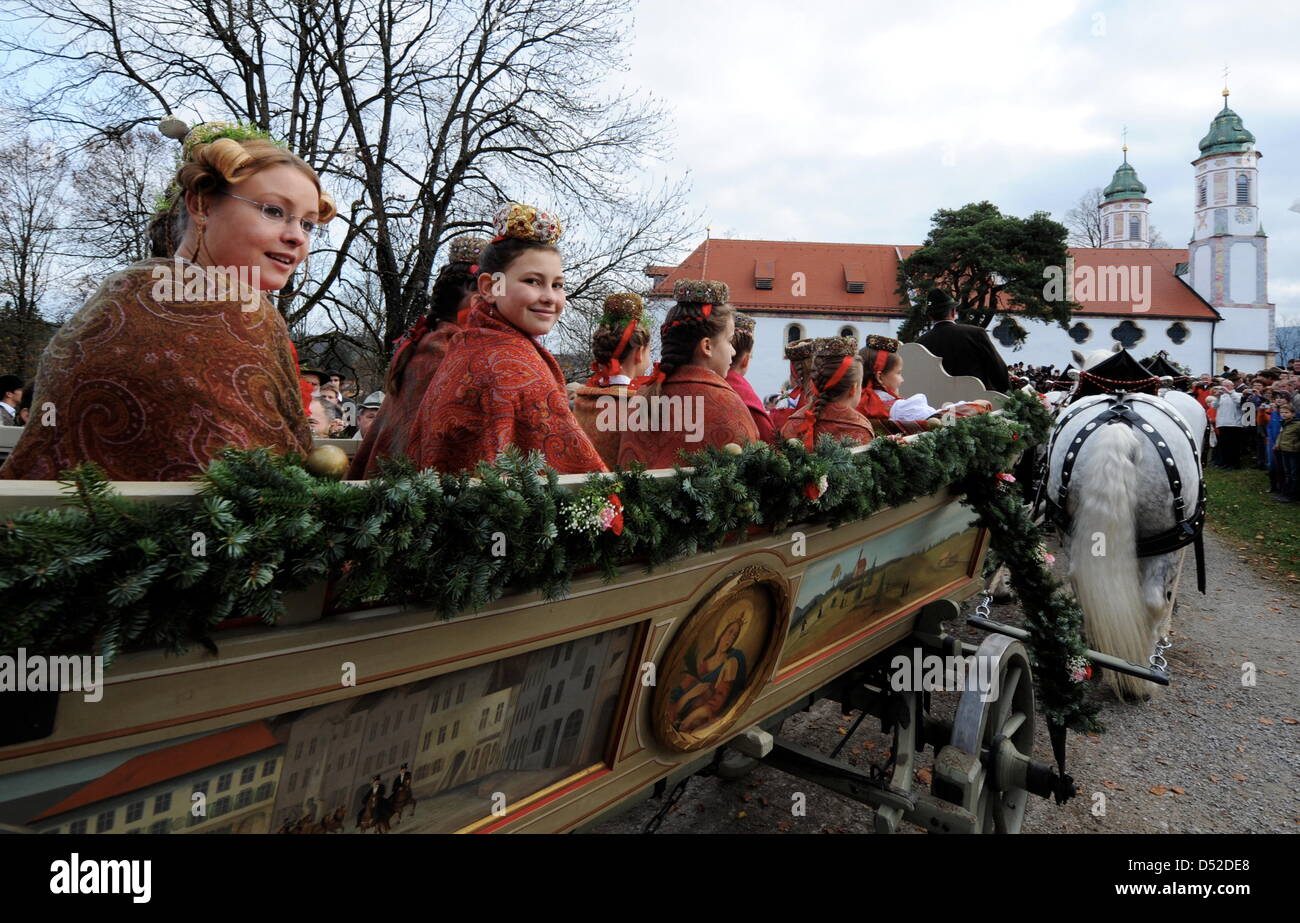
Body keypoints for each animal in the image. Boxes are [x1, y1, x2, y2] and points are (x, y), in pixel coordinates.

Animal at [1045, 348, 1206, 702]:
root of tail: (1118, 425)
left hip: (1074, 529)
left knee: (1083, 583)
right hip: (1165, 537)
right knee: (1153, 601)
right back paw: (1141, 675)